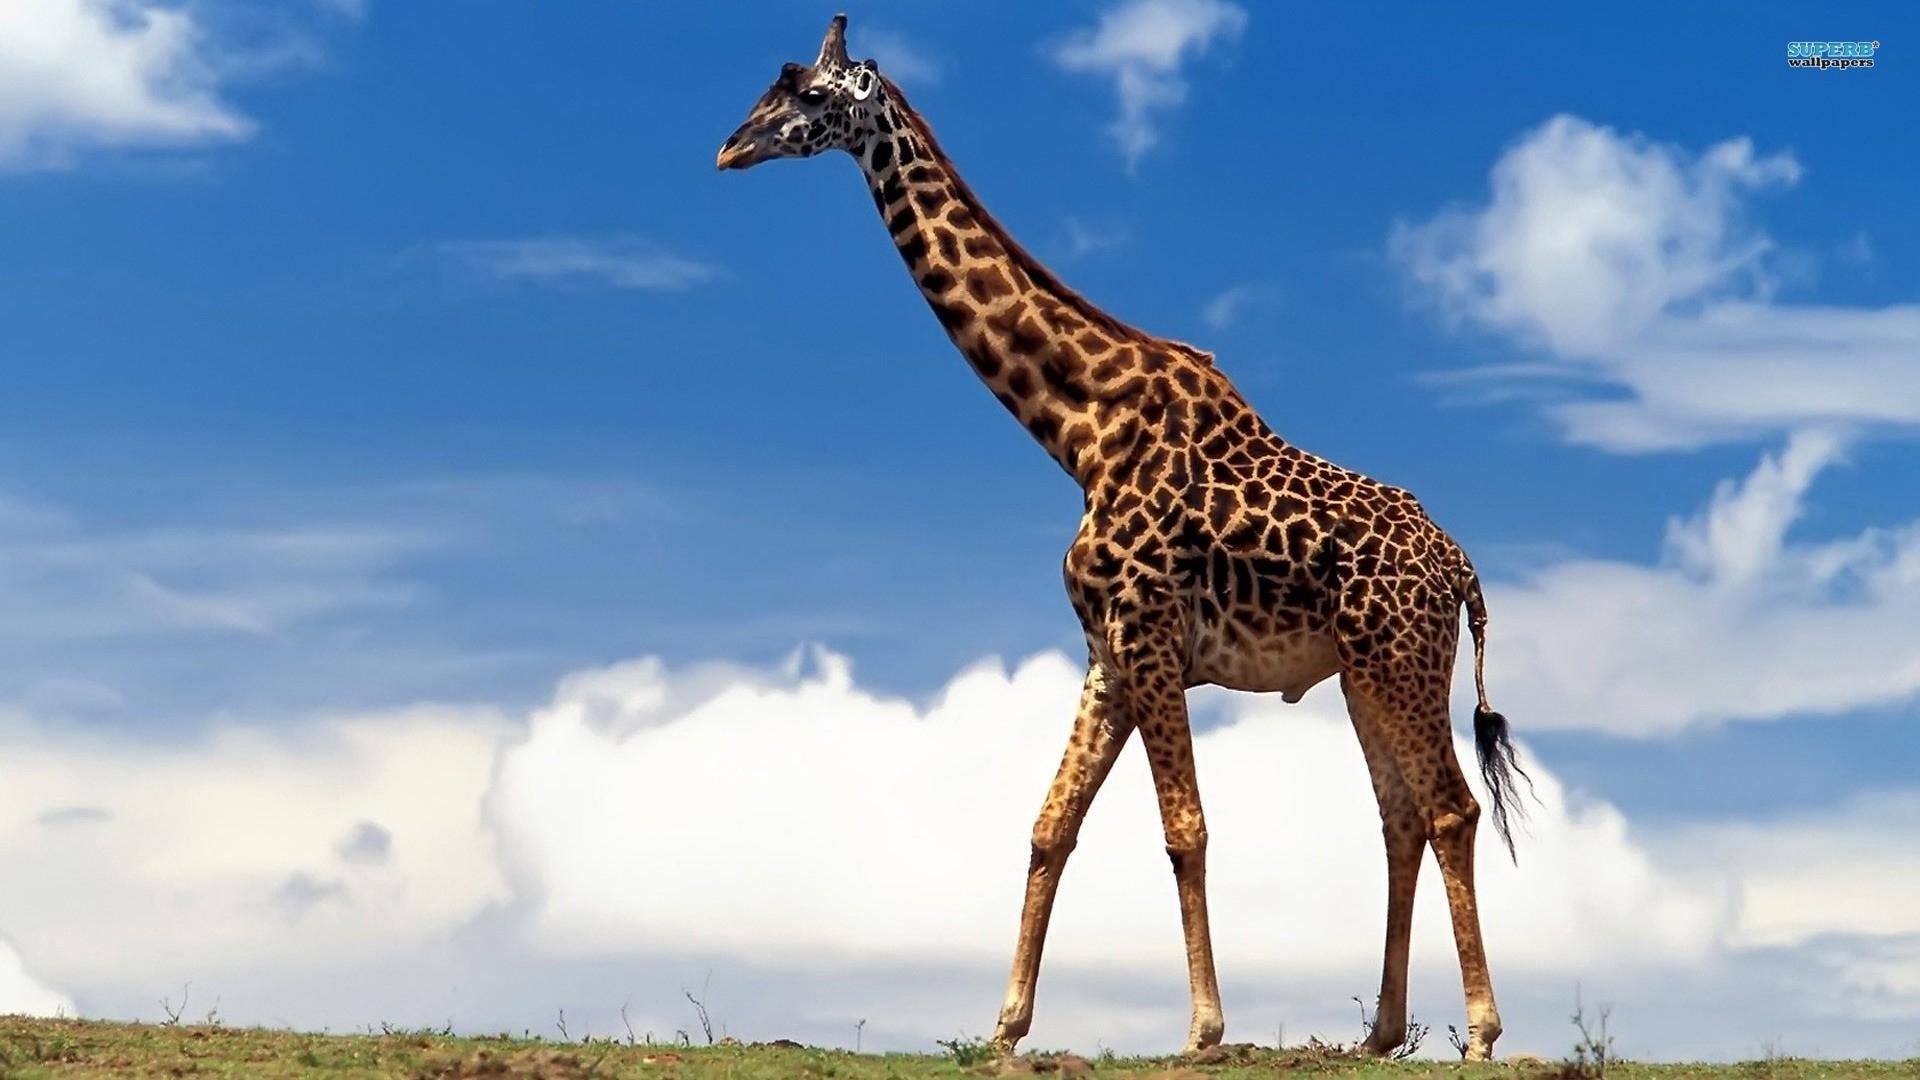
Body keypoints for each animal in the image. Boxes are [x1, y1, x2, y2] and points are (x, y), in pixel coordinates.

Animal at [717, 15, 1530, 1061]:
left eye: (810, 94)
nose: (730, 148)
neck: (1077, 430)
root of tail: (1463, 569)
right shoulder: (1107, 651)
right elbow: (1048, 826)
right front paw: (1006, 1027)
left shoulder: (1149, 635)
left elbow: (1185, 828)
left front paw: (1205, 1030)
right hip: (1365, 671)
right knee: (1401, 818)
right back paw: (1381, 1034)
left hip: (1399, 659)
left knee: (1450, 808)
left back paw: (1480, 1033)